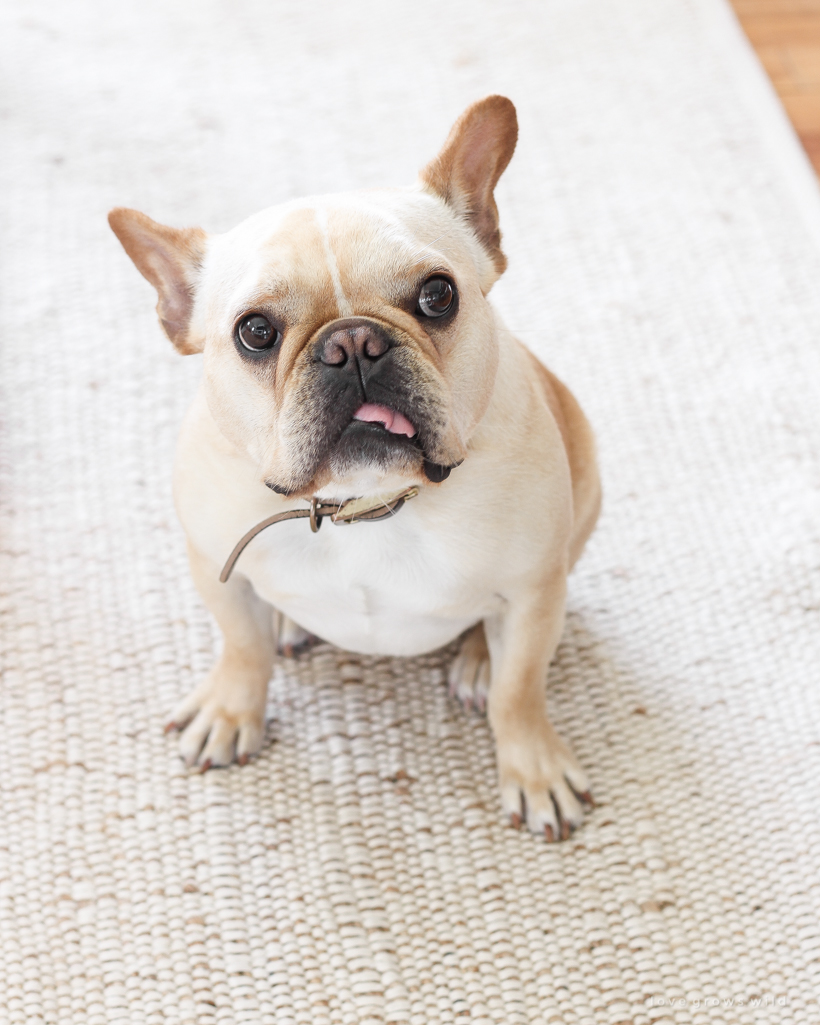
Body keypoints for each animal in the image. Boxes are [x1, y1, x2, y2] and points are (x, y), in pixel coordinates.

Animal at [108, 96, 598, 836]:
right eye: (255, 332)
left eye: (438, 296)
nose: (353, 342)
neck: (364, 503)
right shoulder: (216, 565)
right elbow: (241, 646)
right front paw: (230, 708)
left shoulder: (535, 592)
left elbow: (521, 691)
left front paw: (534, 766)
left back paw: (479, 661)